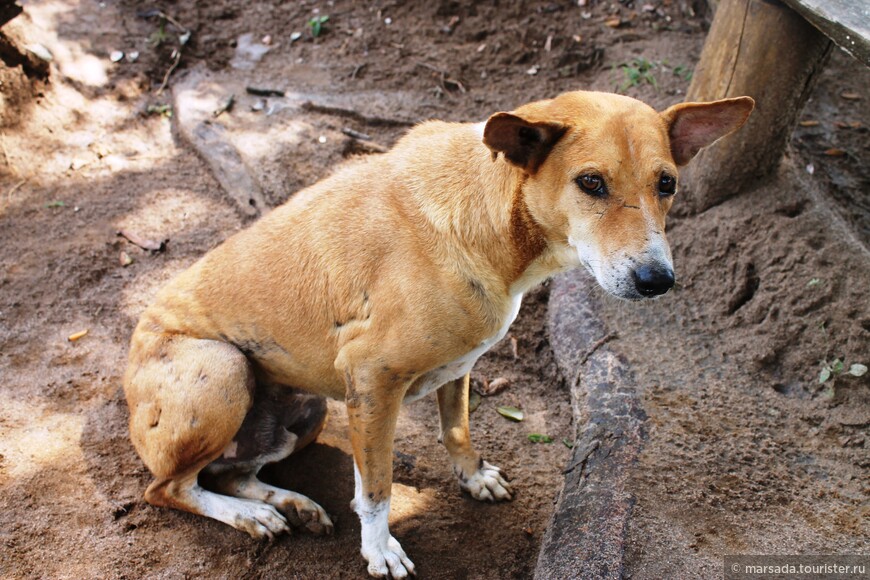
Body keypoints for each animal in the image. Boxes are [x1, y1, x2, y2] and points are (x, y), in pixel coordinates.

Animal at [124, 89, 756, 576]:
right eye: (591, 183)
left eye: (667, 184)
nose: (657, 280)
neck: (496, 225)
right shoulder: (371, 380)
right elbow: (375, 488)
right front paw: (380, 551)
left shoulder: (461, 366)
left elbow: (457, 431)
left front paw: (474, 479)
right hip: (226, 371)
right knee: (168, 489)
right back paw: (251, 515)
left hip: (307, 412)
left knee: (232, 472)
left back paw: (286, 503)